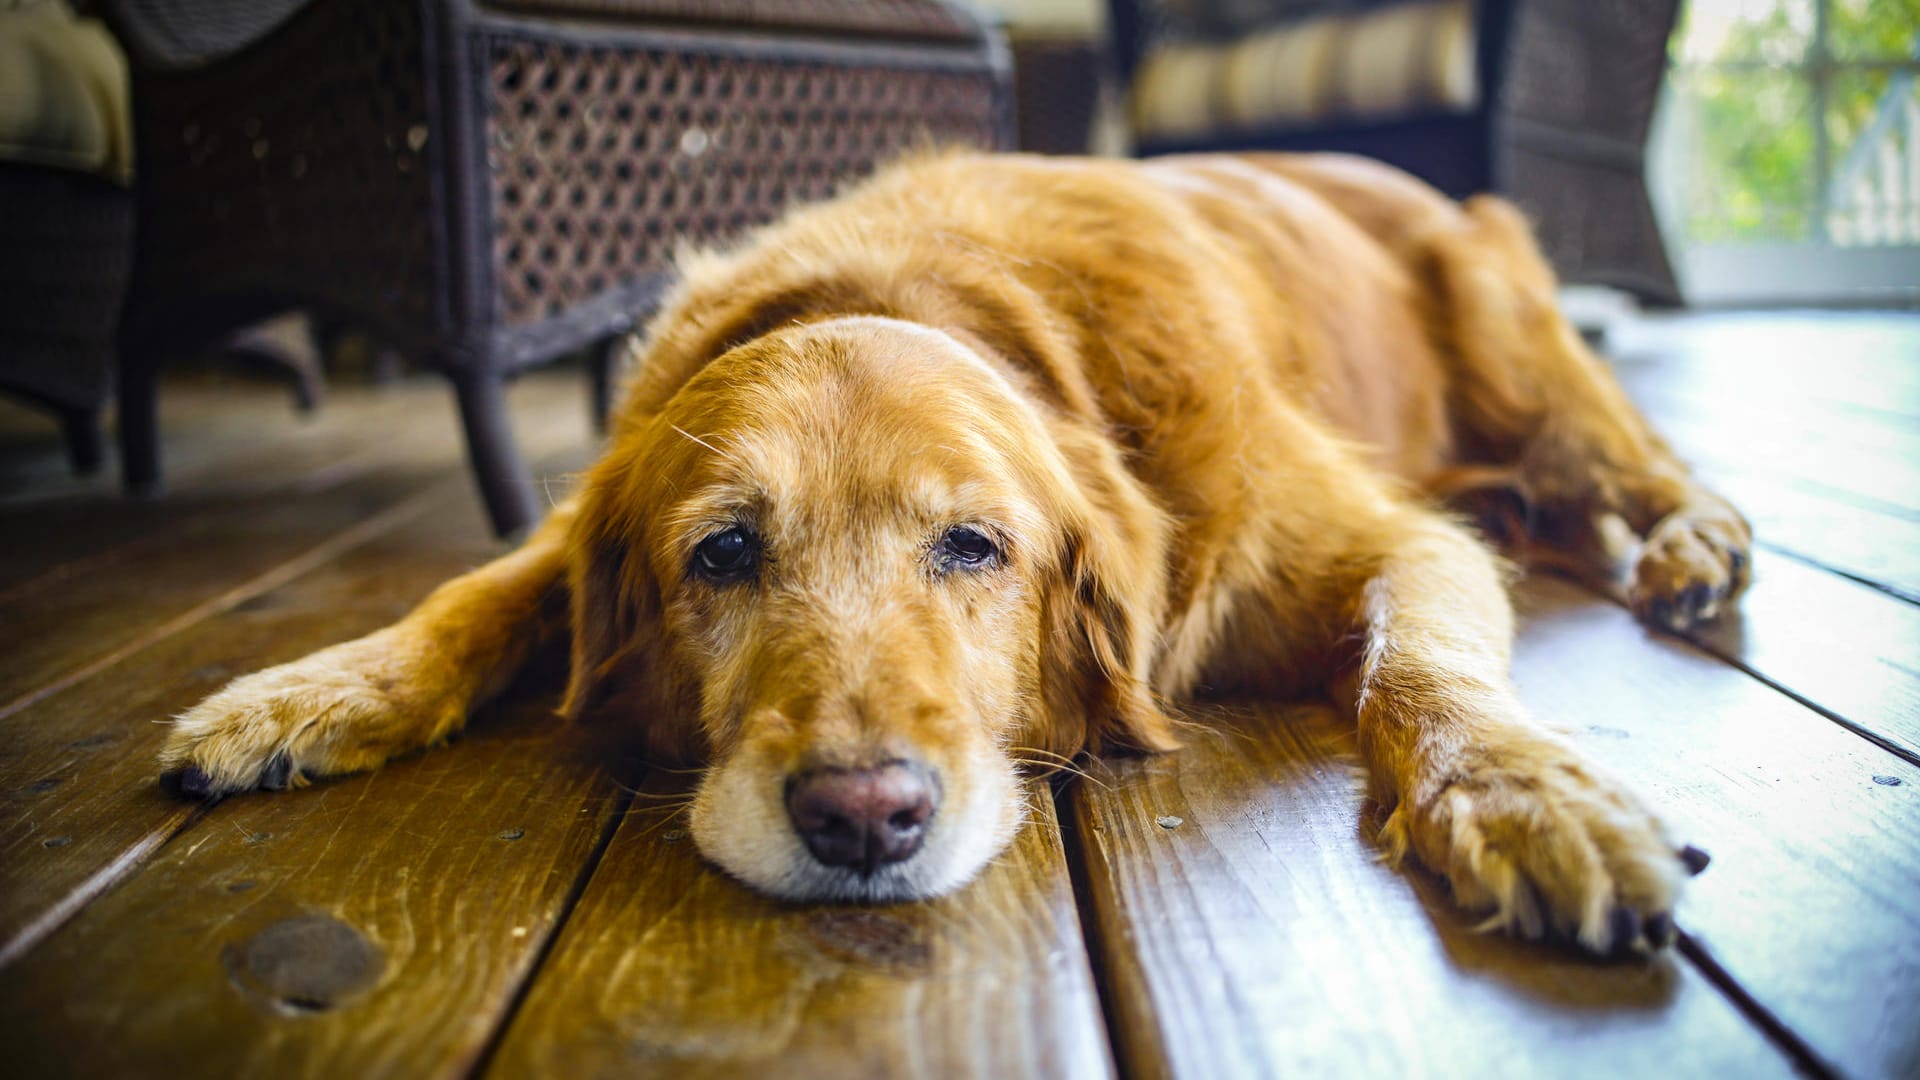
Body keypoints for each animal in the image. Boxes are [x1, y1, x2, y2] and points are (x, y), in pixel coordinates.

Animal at [161, 151, 1743, 949]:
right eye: (721, 556)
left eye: (975, 545)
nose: (863, 819)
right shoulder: (581, 516)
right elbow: (474, 592)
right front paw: (305, 694)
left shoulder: (1392, 538)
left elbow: (1421, 668)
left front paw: (1524, 796)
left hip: (1512, 327)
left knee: (1634, 461)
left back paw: (1693, 543)